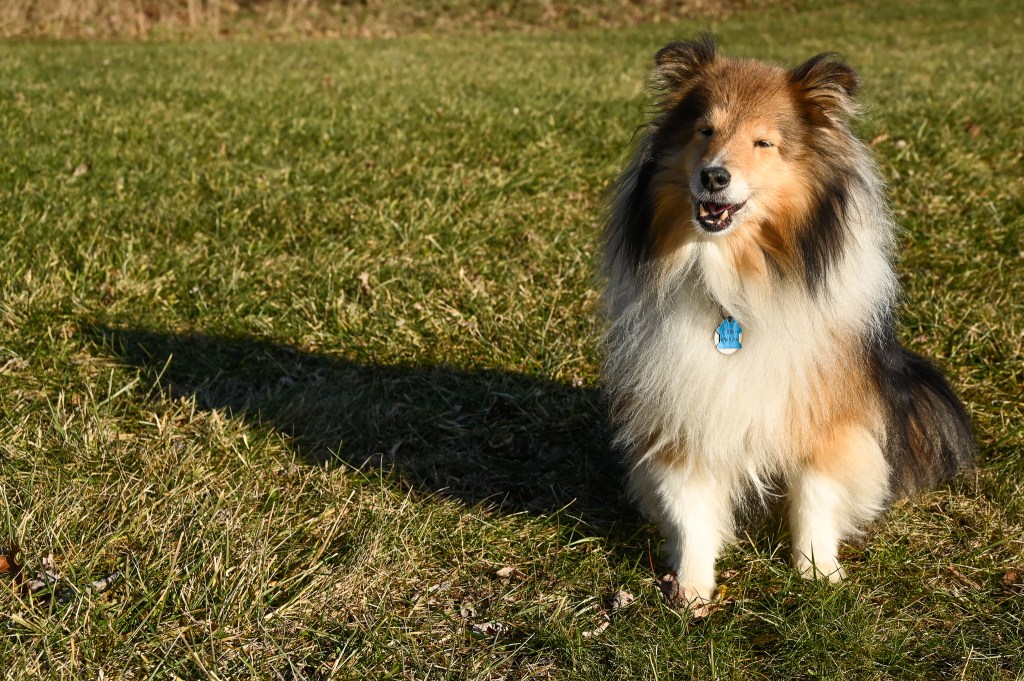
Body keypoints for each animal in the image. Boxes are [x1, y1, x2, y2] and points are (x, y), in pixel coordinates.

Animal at [602, 34, 975, 609]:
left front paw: (818, 575)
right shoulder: (686, 408)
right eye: (704, 130)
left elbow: (815, 497)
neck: (735, 284)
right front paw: (692, 590)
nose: (714, 176)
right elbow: (691, 508)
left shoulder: (823, 414)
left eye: (763, 143)